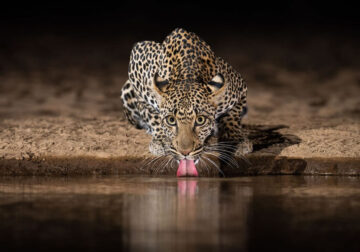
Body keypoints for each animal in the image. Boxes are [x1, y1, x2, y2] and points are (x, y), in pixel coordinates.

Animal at [121, 27, 250, 176]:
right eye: (171, 120)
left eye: (200, 120)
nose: (185, 153)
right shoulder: (138, 60)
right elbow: (151, 113)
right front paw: (162, 141)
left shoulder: (239, 87)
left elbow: (232, 116)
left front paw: (237, 140)